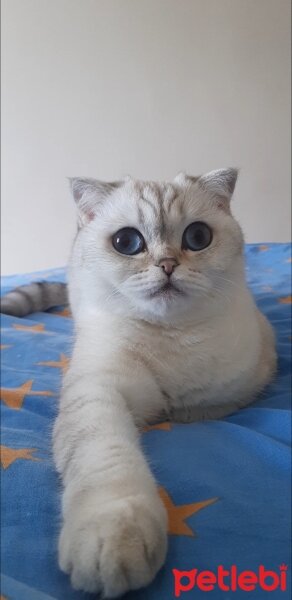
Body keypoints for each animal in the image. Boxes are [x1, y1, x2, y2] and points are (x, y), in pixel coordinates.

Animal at [1, 169, 278, 596]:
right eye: (127, 243)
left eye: (198, 237)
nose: (167, 264)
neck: (172, 338)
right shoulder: (98, 390)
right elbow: (108, 463)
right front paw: (117, 545)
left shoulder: (247, 383)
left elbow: (201, 409)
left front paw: (175, 413)